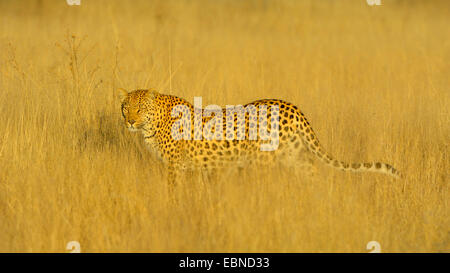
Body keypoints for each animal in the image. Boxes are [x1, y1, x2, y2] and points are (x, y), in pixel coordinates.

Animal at [119, 88, 400, 184]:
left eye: (139, 108)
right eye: (125, 107)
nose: (129, 120)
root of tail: (290, 105)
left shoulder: (175, 167)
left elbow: (173, 191)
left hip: (264, 160)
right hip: (292, 155)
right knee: (312, 172)